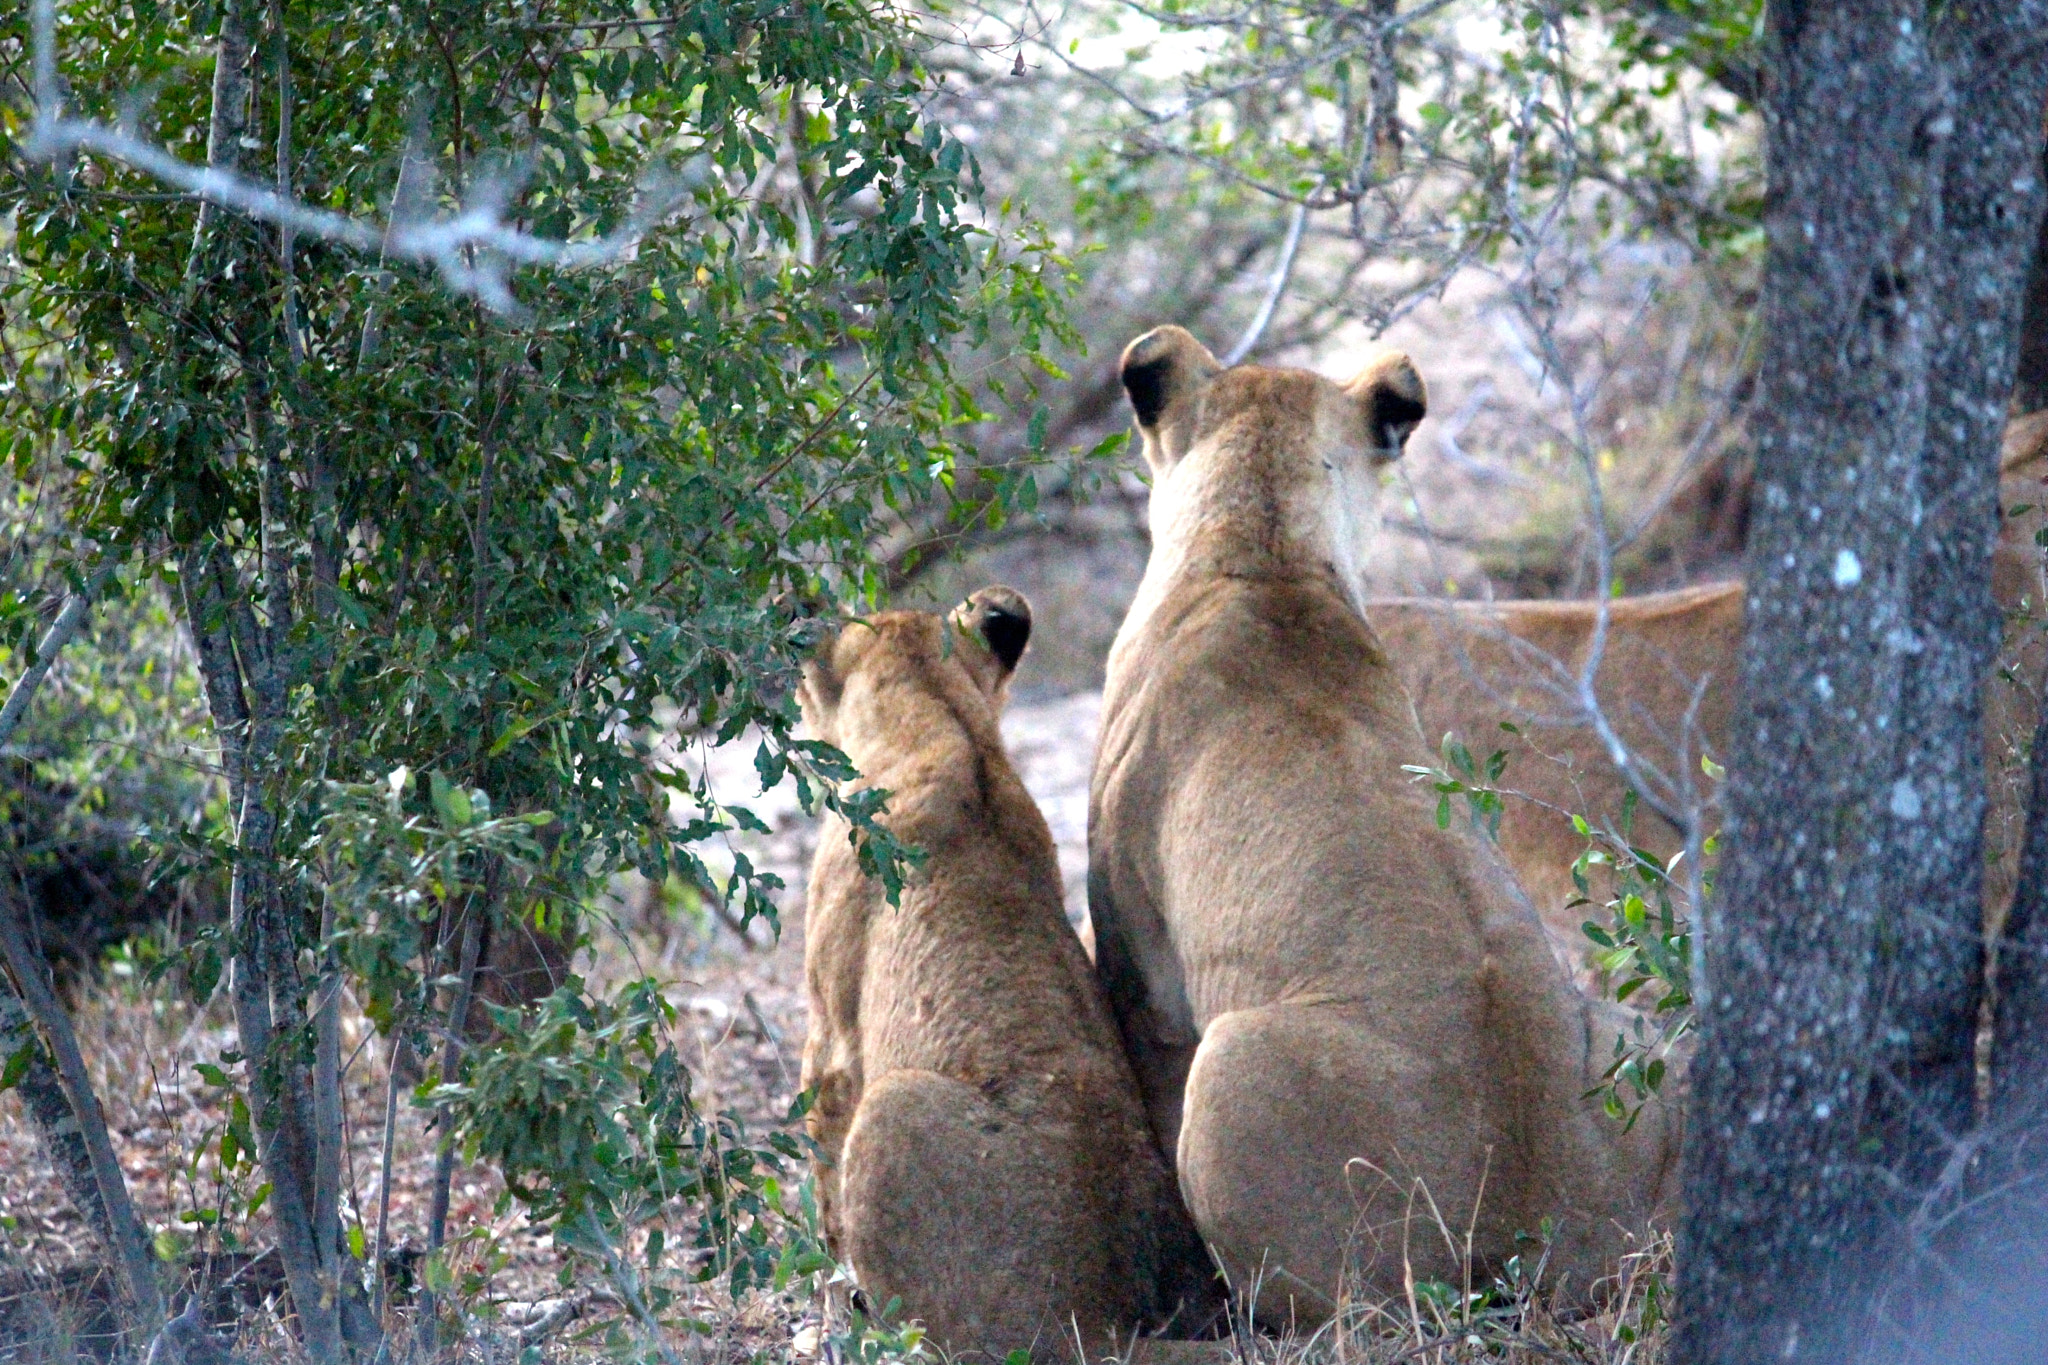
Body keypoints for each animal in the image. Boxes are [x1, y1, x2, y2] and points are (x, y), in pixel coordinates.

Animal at [798, 587, 1223, 1362]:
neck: (945, 723)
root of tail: (1104, 1323)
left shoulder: (833, 1032)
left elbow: (824, 1188)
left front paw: (830, 1320)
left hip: (893, 1102)